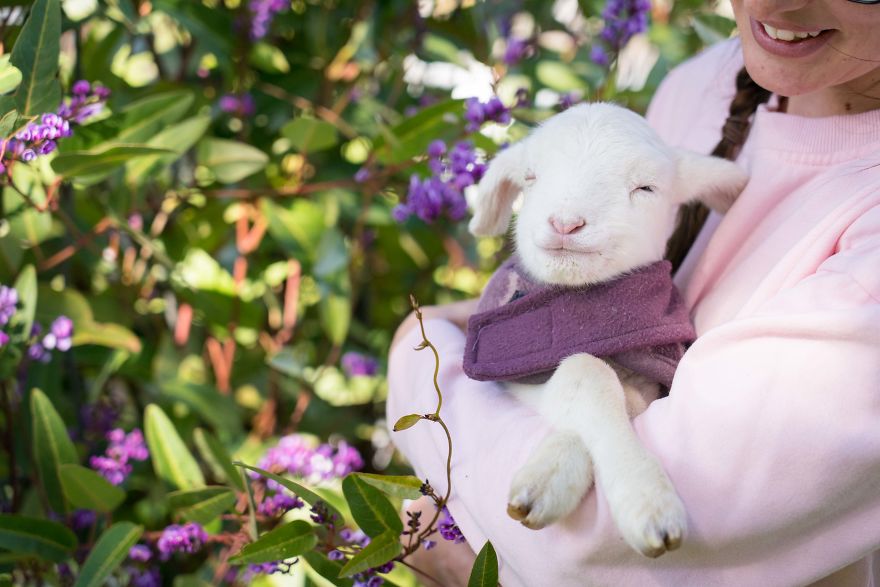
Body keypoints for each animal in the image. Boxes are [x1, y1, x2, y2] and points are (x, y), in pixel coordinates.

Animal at [464, 102, 748, 558]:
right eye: (531, 177)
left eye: (646, 188)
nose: (565, 223)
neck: (586, 311)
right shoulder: (514, 380)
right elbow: (586, 373)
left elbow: (615, 392)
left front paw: (639, 498)